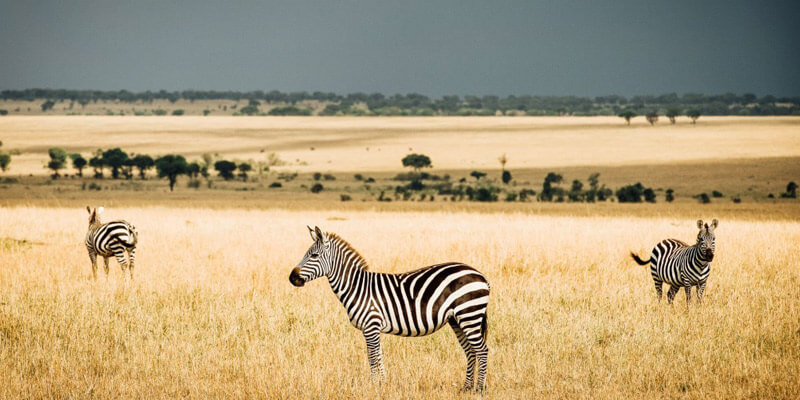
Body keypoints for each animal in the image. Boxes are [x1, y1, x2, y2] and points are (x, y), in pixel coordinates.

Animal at [290, 227, 490, 392]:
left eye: (314, 256)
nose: (292, 277)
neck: (357, 287)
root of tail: (480, 275)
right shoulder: (372, 328)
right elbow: (379, 356)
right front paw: (383, 384)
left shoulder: (371, 325)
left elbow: (372, 357)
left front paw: (373, 386)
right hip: (457, 319)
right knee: (470, 350)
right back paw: (466, 388)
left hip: (469, 314)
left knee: (482, 350)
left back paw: (479, 389)